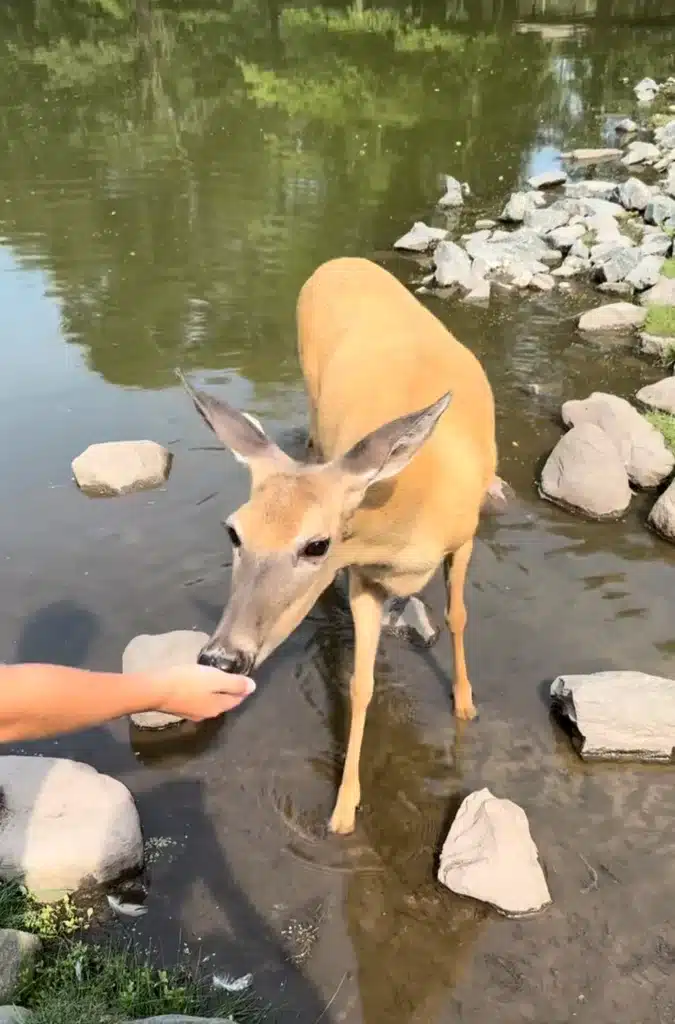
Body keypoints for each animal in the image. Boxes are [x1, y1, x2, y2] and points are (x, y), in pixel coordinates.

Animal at [178, 251, 495, 835]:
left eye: (317, 545)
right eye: (234, 531)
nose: (220, 657)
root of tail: (339, 260)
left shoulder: (465, 537)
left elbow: (459, 615)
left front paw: (465, 705)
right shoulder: (364, 576)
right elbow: (360, 684)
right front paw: (344, 811)